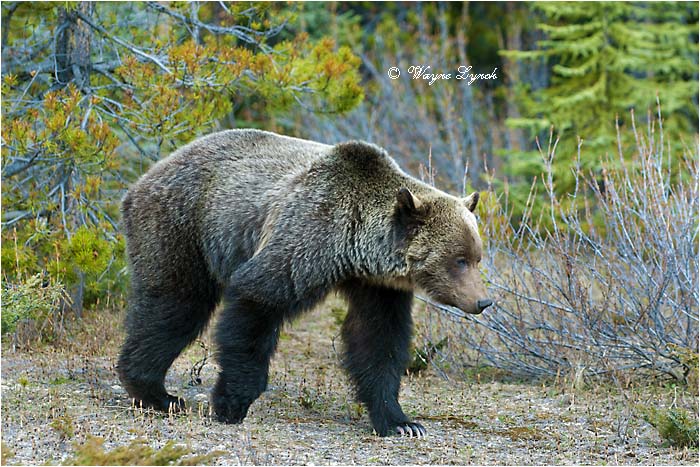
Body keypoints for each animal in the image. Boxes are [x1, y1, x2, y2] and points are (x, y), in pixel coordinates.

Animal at [117, 129, 492, 437]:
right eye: (459, 260)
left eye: (477, 257)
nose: (482, 301)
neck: (354, 247)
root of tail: (145, 177)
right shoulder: (307, 236)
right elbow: (255, 302)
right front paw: (231, 403)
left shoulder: (377, 285)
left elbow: (377, 339)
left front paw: (401, 422)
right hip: (183, 225)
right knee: (175, 304)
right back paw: (157, 393)